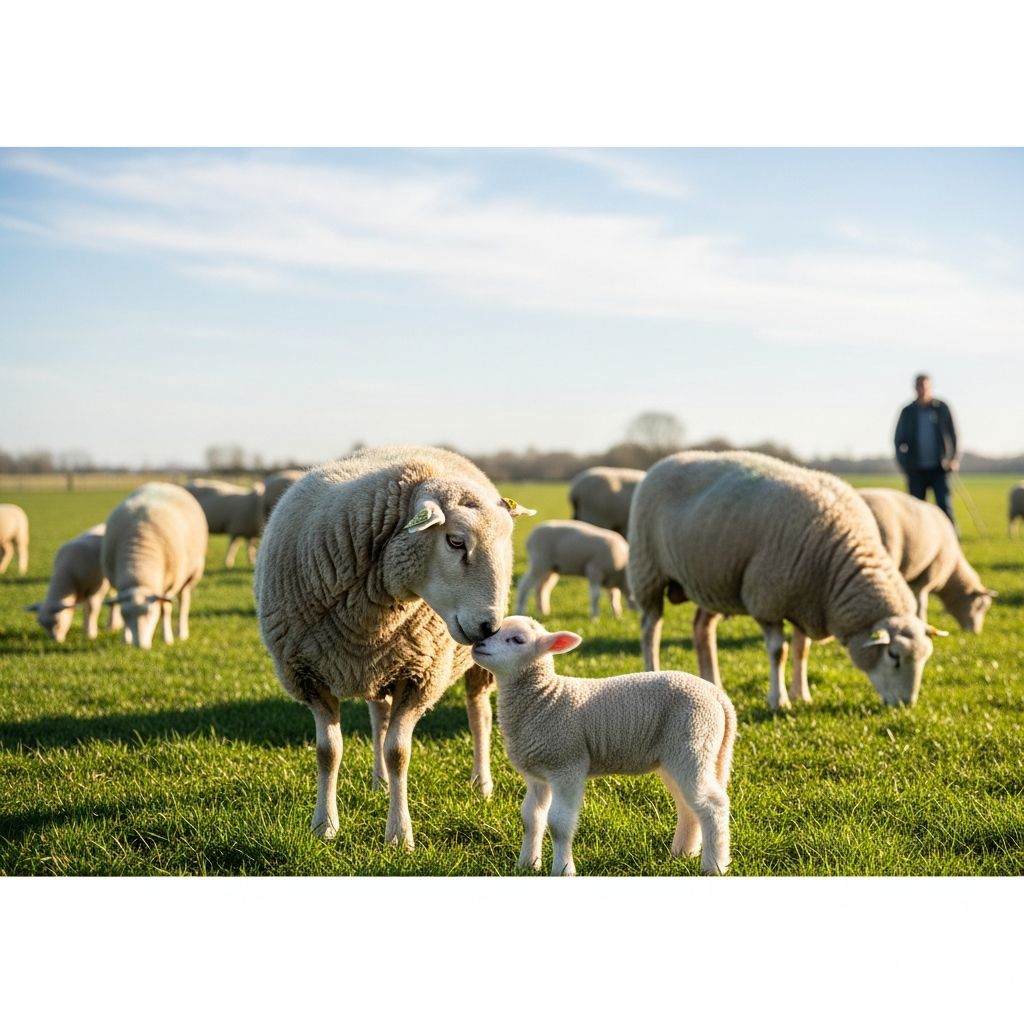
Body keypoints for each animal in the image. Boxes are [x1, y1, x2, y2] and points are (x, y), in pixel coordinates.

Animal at [102, 482, 209, 649]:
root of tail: (163, 484)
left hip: (190, 575)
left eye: (151, 612)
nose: (140, 646)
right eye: (125, 615)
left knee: (184, 601)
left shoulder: (169, 586)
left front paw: (167, 638)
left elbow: (165, 609)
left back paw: (182, 632)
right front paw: (125, 640)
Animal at [254, 445, 536, 850]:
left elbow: (398, 752)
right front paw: (324, 826)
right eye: (455, 541)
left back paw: (481, 783)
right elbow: (329, 752)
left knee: (480, 716)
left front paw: (400, 835)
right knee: (379, 719)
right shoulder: (308, 676)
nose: (490, 627)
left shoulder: (420, 677)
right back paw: (380, 782)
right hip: (378, 665)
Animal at [471, 615, 736, 876]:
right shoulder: (537, 774)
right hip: (678, 756)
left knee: (713, 805)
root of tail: (718, 697)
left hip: (693, 744)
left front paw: (563, 870)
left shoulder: (567, 765)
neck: (544, 698)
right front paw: (527, 865)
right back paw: (683, 852)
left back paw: (714, 866)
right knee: (688, 805)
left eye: (517, 640)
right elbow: (530, 818)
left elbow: (559, 823)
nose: (478, 644)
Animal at [627, 450, 944, 710]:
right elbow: (778, 652)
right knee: (650, 628)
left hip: (712, 579)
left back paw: (713, 683)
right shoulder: (768, 600)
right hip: (647, 570)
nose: (906, 704)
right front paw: (778, 701)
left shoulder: (807, 600)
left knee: (701, 628)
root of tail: (665, 461)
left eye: (926, 657)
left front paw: (801, 694)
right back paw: (652, 672)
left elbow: (802, 651)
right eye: (893, 655)